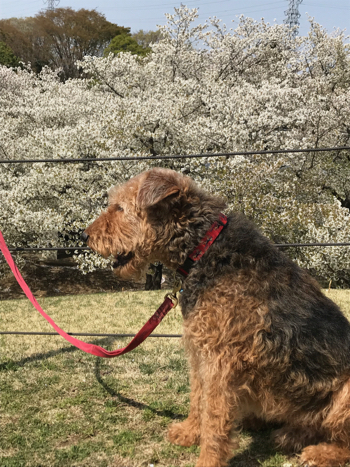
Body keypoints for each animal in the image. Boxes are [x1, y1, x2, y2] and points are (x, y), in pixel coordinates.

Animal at [82, 168, 350, 467]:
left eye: (120, 208)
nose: (84, 236)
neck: (204, 248)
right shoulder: (201, 354)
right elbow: (197, 400)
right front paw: (188, 433)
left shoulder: (221, 362)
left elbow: (214, 418)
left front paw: (207, 459)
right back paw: (289, 435)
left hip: (345, 394)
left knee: (342, 441)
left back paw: (318, 452)